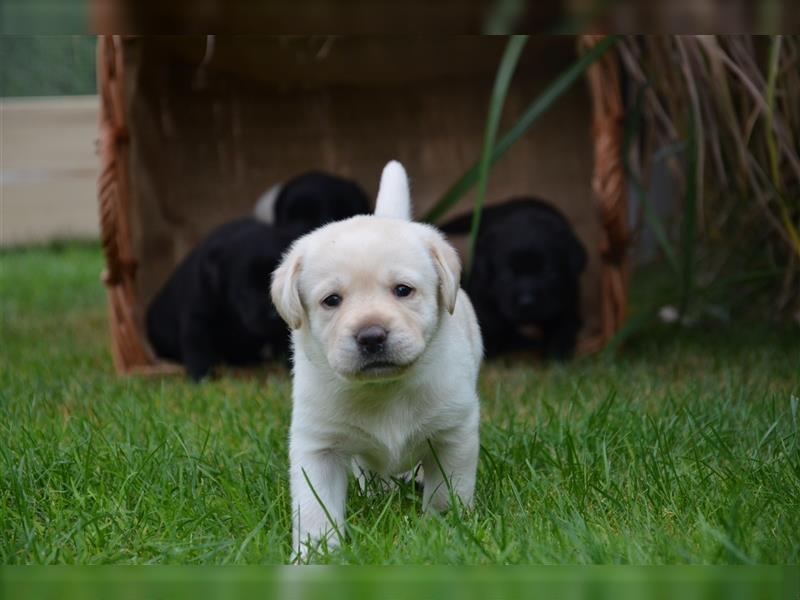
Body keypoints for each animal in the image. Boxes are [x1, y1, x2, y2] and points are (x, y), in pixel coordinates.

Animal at [270, 161, 482, 556]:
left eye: (403, 290)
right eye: (332, 300)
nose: (371, 336)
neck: (385, 390)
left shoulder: (454, 431)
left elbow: (448, 490)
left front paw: (446, 531)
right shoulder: (317, 444)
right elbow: (314, 506)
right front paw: (313, 552)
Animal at [438, 197, 588, 358]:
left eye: (548, 272)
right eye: (508, 274)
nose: (527, 302)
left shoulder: (567, 293)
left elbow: (562, 324)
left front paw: (557, 354)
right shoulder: (484, 292)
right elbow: (492, 321)